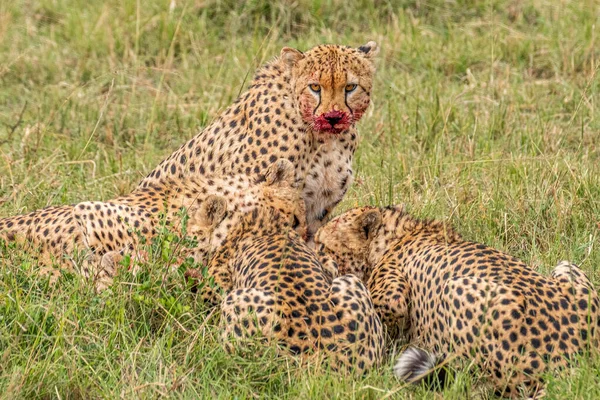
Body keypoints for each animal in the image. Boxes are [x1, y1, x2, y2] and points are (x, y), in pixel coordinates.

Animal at [316, 206, 596, 396]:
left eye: (321, 244)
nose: (313, 249)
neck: (398, 234)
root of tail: (569, 362)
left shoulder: (393, 298)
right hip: (567, 267)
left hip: (455, 290)